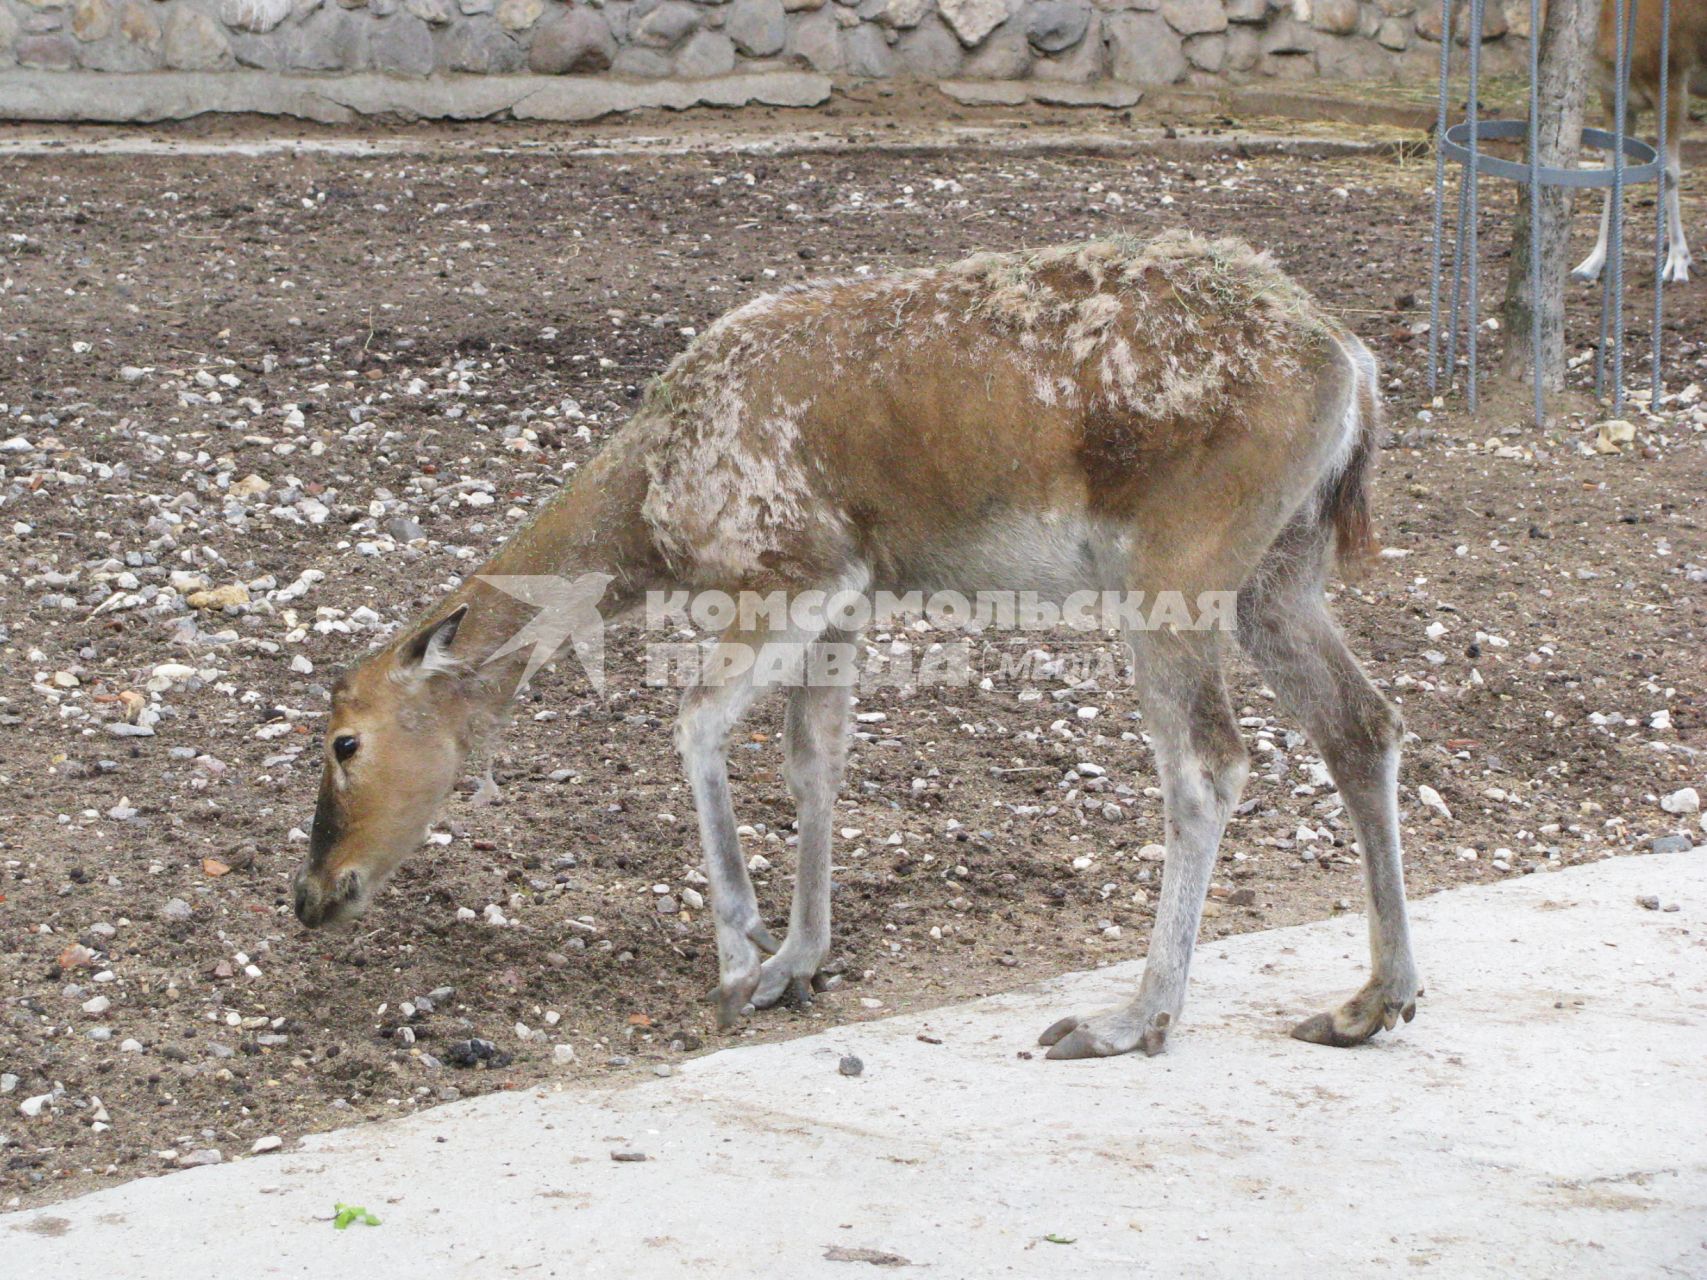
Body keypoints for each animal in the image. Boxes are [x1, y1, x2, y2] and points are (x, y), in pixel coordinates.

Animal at [286, 233, 1420, 1064]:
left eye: (344, 742)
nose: (311, 894)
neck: (653, 516)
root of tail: (1358, 376)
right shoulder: (850, 597)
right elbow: (814, 757)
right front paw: (798, 956)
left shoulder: (791, 566)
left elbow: (694, 722)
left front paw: (738, 955)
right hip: (1282, 567)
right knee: (1363, 722)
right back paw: (1372, 999)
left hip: (1180, 562)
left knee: (1208, 760)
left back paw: (1128, 1019)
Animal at [1563, 0, 1700, 285]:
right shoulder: (1612, 95)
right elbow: (1612, 174)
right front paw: (1591, 264)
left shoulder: (1673, 79)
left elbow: (1669, 171)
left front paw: (1677, 262)